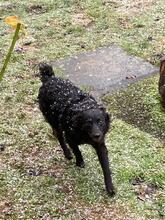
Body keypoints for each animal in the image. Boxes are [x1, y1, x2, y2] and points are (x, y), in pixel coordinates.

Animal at [37, 62, 114, 197]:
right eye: (88, 123)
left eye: (100, 122)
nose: (97, 135)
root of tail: (49, 78)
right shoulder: (70, 138)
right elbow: (77, 150)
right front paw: (80, 162)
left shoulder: (100, 146)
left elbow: (106, 167)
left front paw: (110, 187)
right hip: (55, 122)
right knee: (60, 137)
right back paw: (67, 153)